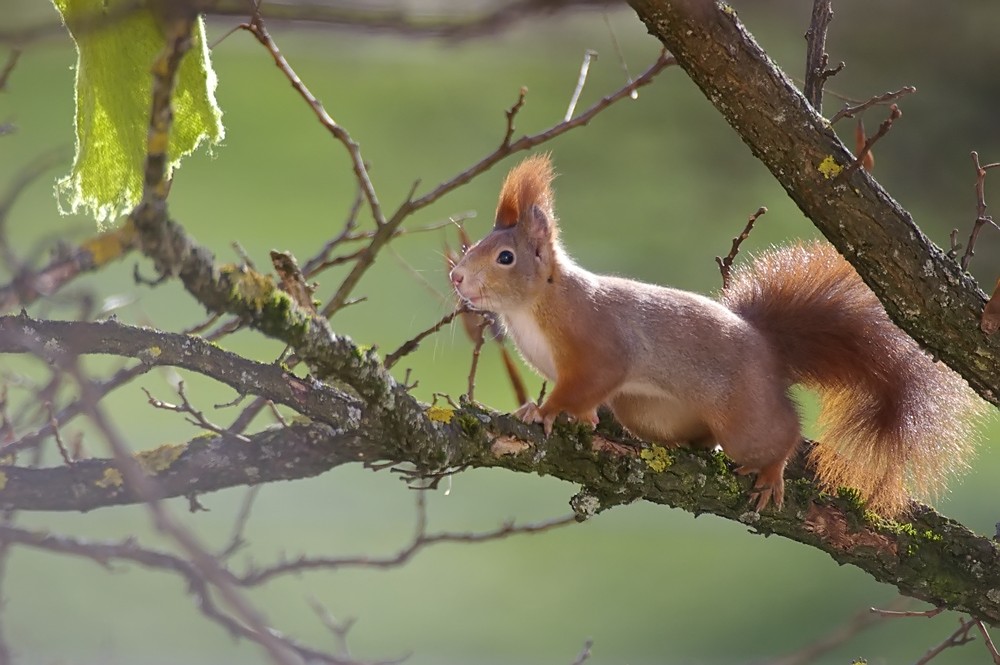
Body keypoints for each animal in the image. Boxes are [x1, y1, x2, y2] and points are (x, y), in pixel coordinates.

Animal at [450, 153, 980, 516]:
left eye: (505, 257)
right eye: (475, 247)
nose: (456, 277)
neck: (532, 309)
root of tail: (768, 348)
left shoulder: (598, 341)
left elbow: (590, 379)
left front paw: (544, 411)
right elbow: (586, 403)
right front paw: (564, 415)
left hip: (744, 416)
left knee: (782, 431)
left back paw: (771, 473)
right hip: (649, 412)